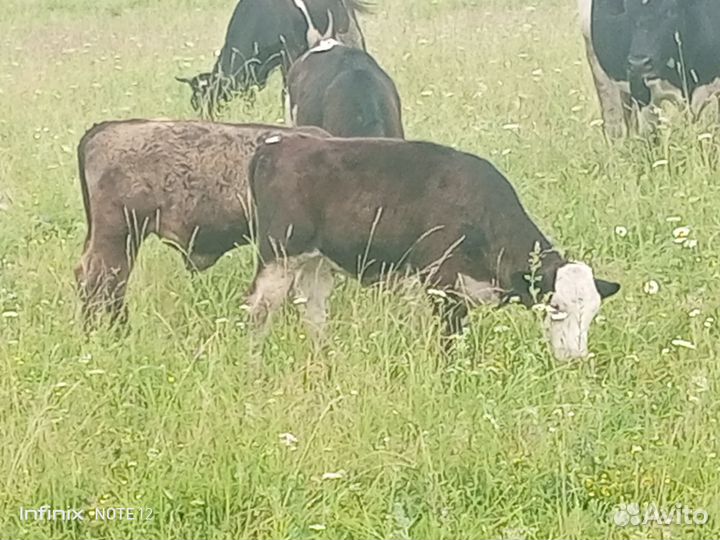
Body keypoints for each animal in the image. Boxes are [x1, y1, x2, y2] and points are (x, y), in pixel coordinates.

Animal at [176, 0, 371, 117]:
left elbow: (285, 91)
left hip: (348, 32)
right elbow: (250, 96)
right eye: (195, 102)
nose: (204, 118)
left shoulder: (290, 53)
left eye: (213, 96)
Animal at [245, 135, 620, 360]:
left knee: (314, 313)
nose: (575, 358)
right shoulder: (441, 282)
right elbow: (450, 339)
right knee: (258, 310)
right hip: (279, 256)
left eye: (592, 313)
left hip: (316, 263)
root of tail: (278, 143)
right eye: (555, 307)